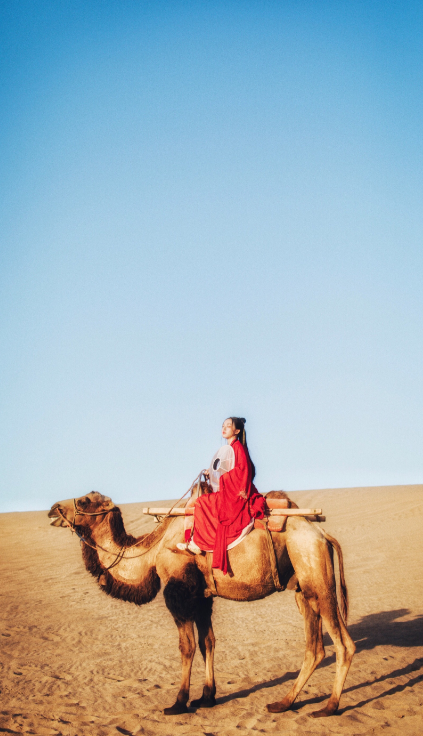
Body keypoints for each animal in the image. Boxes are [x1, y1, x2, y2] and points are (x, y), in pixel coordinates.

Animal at [48, 492, 356, 716]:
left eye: (85, 500)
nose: (52, 509)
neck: (153, 551)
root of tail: (322, 535)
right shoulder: (202, 596)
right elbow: (208, 642)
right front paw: (207, 697)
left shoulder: (179, 592)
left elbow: (187, 647)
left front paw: (178, 702)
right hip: (305, 588)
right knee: (316, 648)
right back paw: (283, 703)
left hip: (315, 575)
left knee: (343, 645)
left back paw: (329, 707)